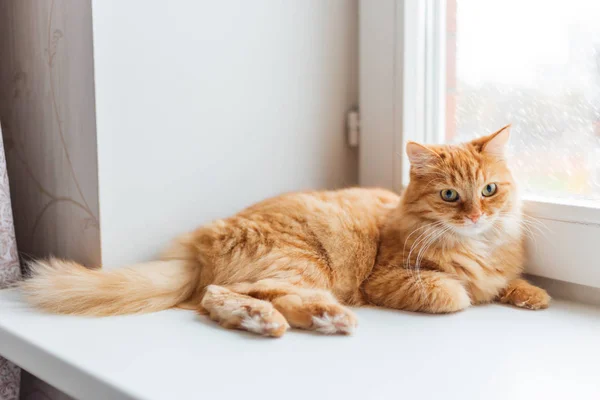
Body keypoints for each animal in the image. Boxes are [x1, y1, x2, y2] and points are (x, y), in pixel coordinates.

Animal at [22, 126, 548, 338]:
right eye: (450, 196)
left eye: (489, 190)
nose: (476, 216)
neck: (476, 245)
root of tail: (199, 241)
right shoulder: (391, 277)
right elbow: (455, 293)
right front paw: (466, 290)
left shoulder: (497, 268)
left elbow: (504, 283)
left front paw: (532, 295)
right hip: (303, 263)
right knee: (227, 296)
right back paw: (299, 320)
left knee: (239, 300)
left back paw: (311, 320)